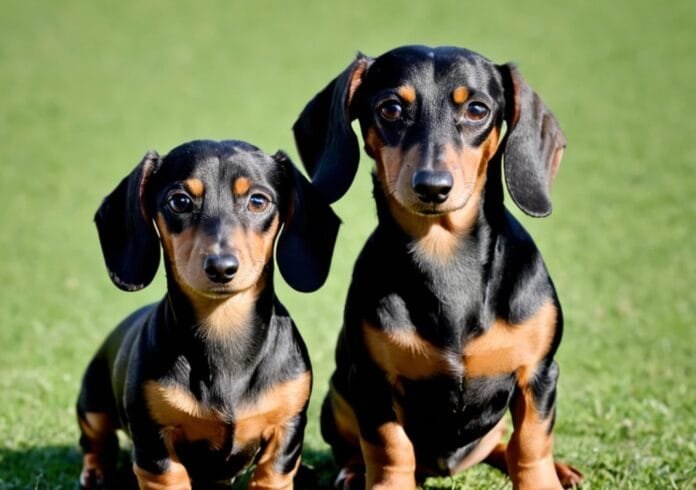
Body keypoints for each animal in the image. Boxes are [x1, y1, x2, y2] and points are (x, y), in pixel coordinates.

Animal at [77, 140, 338, 488]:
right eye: (180, 201)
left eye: (258, 201)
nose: (221, 267)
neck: (223, 329)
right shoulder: (153, 444)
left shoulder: (287, 429)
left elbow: (272, 474)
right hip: (93, 406)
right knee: (95, 441)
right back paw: (95, 472)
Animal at [294, 44, 588, 488]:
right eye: (391, 108)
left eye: (477, 110)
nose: (432, 186)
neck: (445, 257)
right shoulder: (371, 382)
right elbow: (389, 448)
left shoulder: (538, 375)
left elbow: (530, 445)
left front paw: (543, 477)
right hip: (337, 395)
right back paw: (352, 471)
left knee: (501, 444)